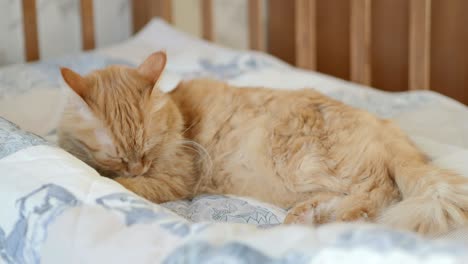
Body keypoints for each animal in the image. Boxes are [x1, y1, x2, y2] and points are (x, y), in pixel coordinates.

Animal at [57, 51, 468, 235]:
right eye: (118, 153)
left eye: (147, 149)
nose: (138, 166)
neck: (179, 115)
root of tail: (384, 125)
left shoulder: (177, 177)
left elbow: (128, 185)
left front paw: (112, 177)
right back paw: (305, 218)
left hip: (307, 163)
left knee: (378, 194)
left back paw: (333, 220)